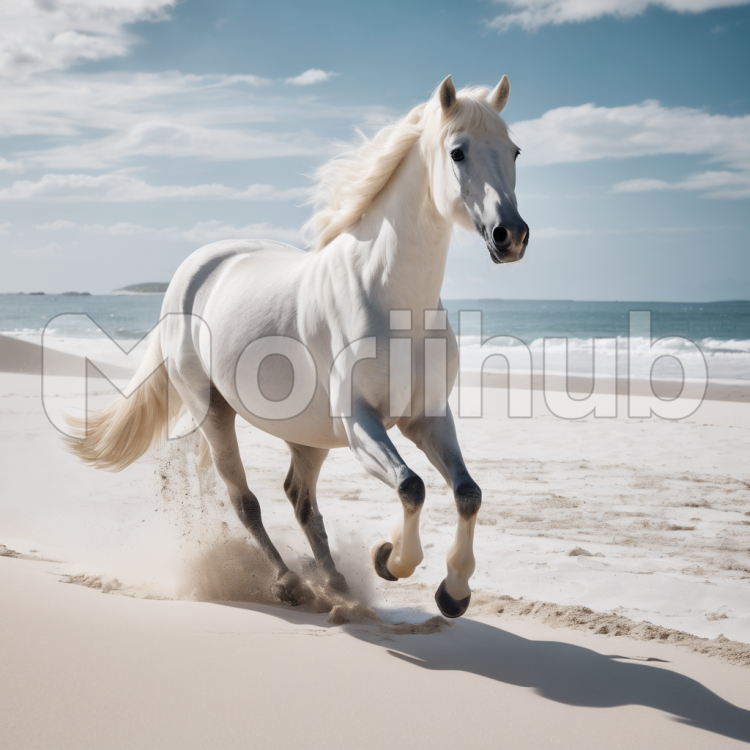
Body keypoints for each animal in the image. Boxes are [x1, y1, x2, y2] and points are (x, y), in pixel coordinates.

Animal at [65, 75, 529, 619]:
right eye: (457, 152)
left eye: (514, 150)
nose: (510, 236)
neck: (392, 299)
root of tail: (194, 267)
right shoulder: (361, 423)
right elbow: (411, 485)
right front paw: (391, 560)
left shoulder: (427, 417)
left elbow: (467, 493)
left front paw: (452, 592)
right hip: (214, 412)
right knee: (245, 500)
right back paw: (290, 583)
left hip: (307, 437)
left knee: (301, 501)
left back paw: (338, 584)